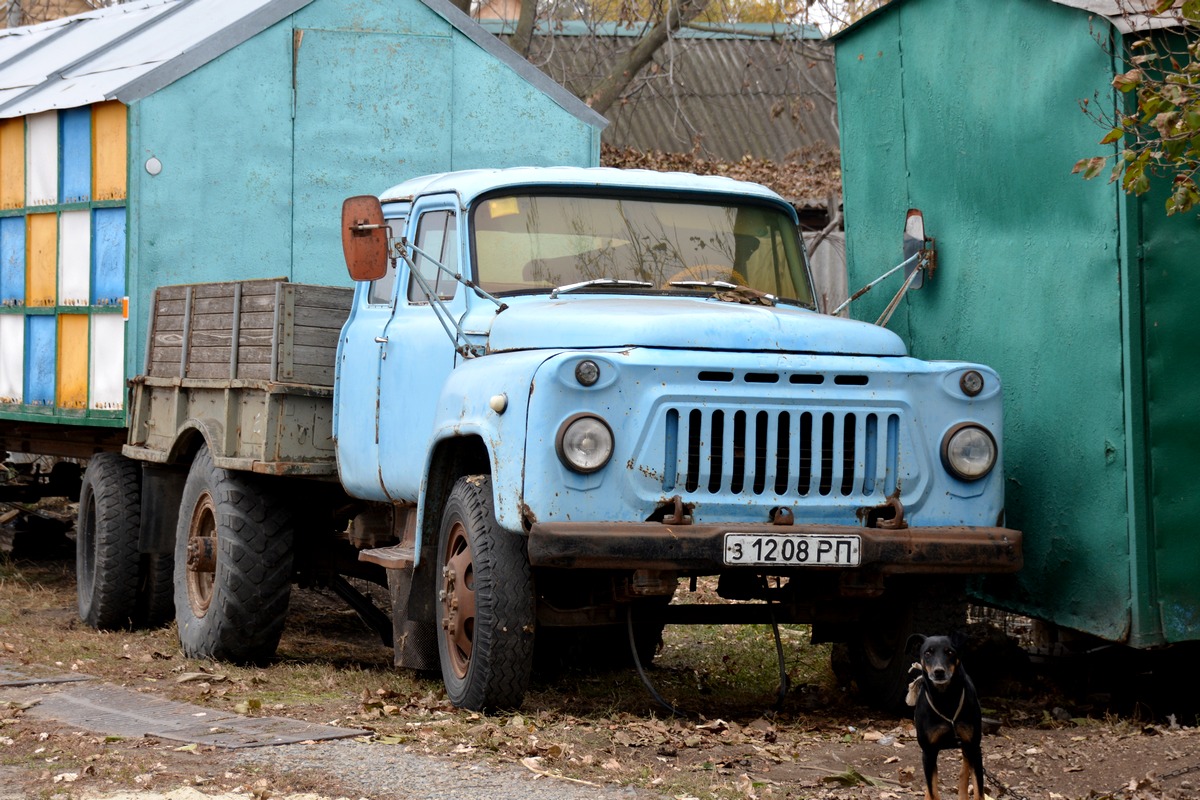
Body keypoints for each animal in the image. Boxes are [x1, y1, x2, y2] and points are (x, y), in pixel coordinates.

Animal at [907, 633, 984, 796]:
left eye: (949, 652)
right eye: (927, 653)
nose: (939, 671)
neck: (945, 700)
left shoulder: (974, 748)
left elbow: (978, 791)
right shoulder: (928, 752)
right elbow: (932, 791)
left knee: (964, 772)